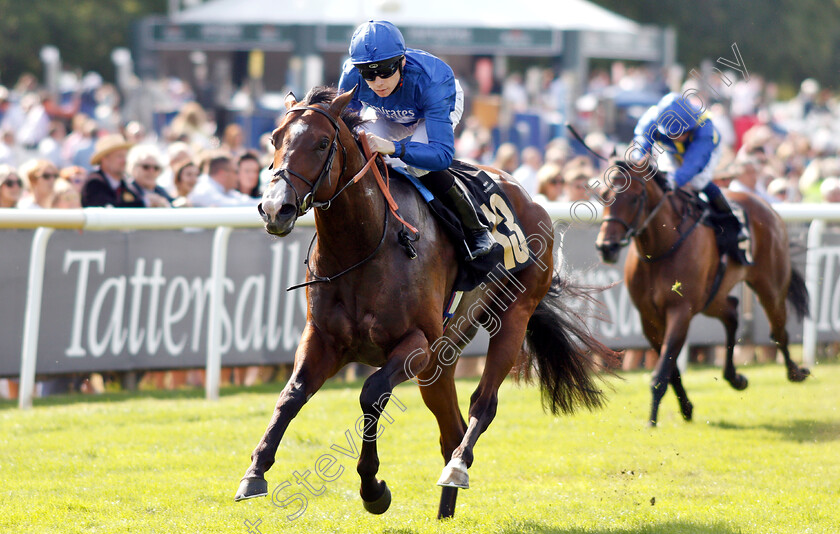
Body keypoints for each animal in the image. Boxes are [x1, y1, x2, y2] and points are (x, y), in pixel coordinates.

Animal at [236, 88, 616, 520]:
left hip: (511, 315)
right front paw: (254, 473)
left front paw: (373, 488)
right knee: (451, 429)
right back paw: (445, 507)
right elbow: (291, 395)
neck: (364, 244)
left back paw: (456, 470)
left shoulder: (416, 341)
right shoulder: (323, 339)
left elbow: (371, 392)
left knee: (482, 405)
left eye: (320, 143)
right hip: (443, 356)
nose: (274, 208)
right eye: (275, 138)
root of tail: (531, 201)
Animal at [592, 159, 812, 428]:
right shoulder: (649, 318)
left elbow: (662, 370)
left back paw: (796, 372)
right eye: (604, 195)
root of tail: (766, 206)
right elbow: (670, 369)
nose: (606, 247)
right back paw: (735, 378)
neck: (661, 248)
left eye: (634, 198)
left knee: (778, 330)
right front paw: (685, 408)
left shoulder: (680, 311)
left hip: (770, 285)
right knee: (732, 312)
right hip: (712, 297)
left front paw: (652, 421)